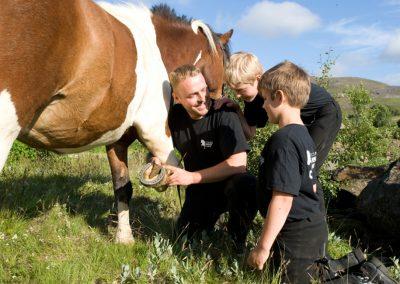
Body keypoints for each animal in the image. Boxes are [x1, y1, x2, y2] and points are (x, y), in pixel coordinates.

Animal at [0, 0, 231, 244]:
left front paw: (124, 237)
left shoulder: (117, 141)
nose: (217, 101)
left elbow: (122, 186)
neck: (157, 48)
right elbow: (176, 173)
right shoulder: (155, 131)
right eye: (223, 65)